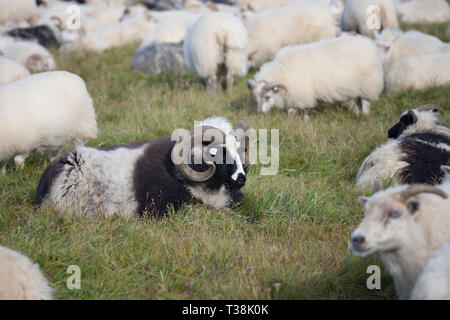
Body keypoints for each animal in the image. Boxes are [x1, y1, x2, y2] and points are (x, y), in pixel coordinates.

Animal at [246, 34, 384, 119]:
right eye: (256, 97)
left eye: (267, 97)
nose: (260, 113)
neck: (282, 71)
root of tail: (369, 44)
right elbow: (291, 111)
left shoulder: (303, 96)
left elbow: (302, 111)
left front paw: (305, 120)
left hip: (368, 84)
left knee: (366, 102)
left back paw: (365, 116)